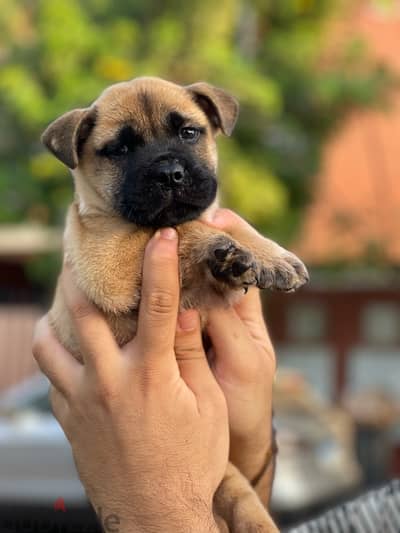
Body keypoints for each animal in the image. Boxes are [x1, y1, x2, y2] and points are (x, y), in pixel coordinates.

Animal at [42, 77, 308, 528]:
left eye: (189, 132)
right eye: (120, 149)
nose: (170, 174)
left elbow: (214, 221)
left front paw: (267, 255)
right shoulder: (107, 258)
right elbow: (184, 226)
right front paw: (230, 252)